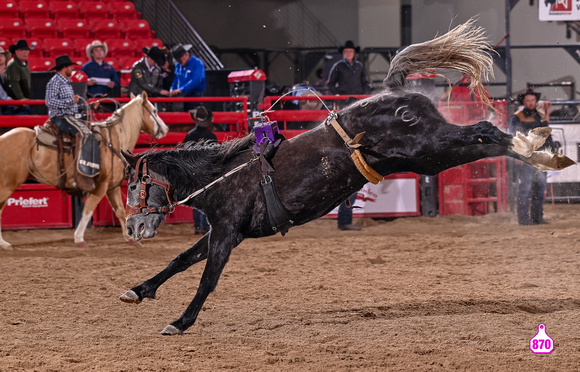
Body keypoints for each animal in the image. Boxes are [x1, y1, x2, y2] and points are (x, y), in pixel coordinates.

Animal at [0, 91, 168, 251]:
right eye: (154, 110)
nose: (166, 129)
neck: (115, 139)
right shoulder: (101, 186)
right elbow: (88, 211)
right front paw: (79, 238)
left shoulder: (112, 187)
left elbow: (120, 210)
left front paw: (131, 239)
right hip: (8, 185)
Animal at [119, 20, 576, 334]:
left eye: (135, 183)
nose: (131, 226)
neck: (225, 174)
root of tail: (393, 90)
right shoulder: (223, 231)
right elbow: (181, 260)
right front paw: (138, 291)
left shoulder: (228, 233)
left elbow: (206, 279)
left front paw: (179, 322)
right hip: (431, 158)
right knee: (482, 140)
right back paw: (541, 152)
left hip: (431, 144)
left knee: (484, 129)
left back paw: (537, 148)